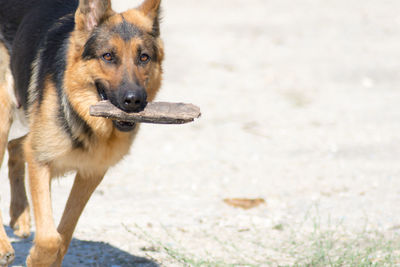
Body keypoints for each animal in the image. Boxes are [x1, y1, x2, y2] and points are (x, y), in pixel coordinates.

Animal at [0, 0, 164, 266]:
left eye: (144, 57)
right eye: (107, 56)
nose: (134, 101)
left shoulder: (91, 173)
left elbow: (64, 235)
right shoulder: (40, 160)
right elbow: (50, 239)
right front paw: (38, 258)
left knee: (16, 147)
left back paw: (20, 215)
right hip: (4, 115)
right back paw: (5, 244)